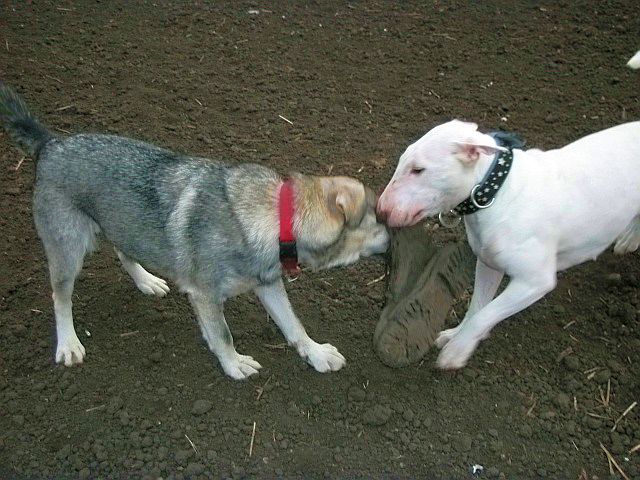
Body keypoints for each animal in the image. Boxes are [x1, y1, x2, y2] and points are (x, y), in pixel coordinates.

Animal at [1, 85, 390, 378]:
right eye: (379, 217)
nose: (396, 232)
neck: (275, 218)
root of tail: (51, 144)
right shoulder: (205, 295)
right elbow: (223, 334)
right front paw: (234, 364)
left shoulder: (268, 283)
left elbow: (294, 325)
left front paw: (316, 352)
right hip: (67, 250)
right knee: (60, 296)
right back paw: (68, 343)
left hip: (123, 224)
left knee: (125, 252)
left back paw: (146, 281)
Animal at [378, 119, 640, 368]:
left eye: (418, 170)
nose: (380, 212)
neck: (497, 193)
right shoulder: (488, 263)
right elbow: (478, 306)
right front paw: (456, 335)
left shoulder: (534, 282)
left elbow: (485, 314)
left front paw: (457, 351)